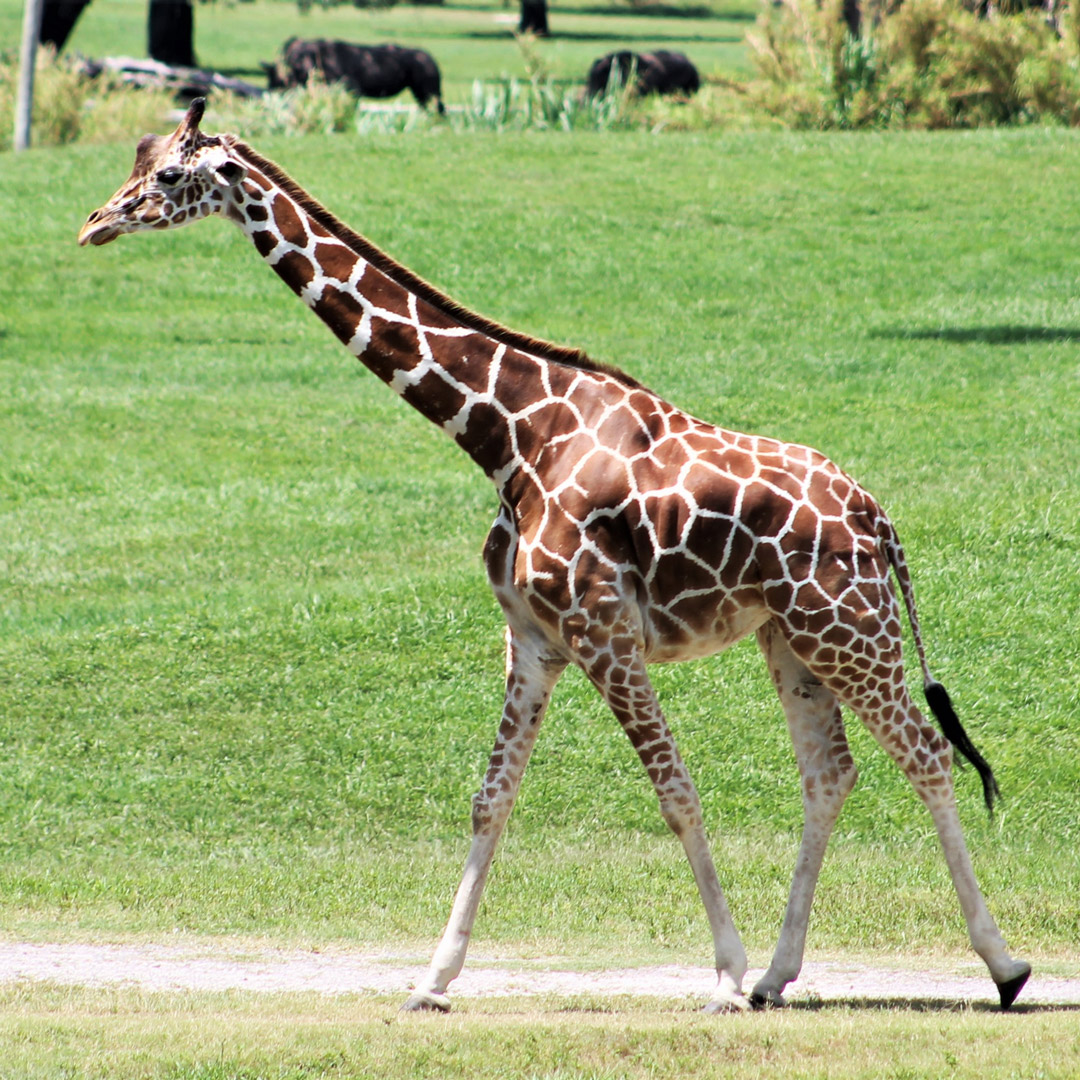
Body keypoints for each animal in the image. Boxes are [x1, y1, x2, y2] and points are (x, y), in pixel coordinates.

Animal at [78, 99, 1028, 1010]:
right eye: (135, 159)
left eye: (167, 174)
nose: (94, 223)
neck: (510, 436)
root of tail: (878, 519)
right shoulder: (534, 640)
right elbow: (489, 801)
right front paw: (432, 981)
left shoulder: (604, 631)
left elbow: (675, 793)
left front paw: (721, 978)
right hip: (791, 639)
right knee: (831, 776)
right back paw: (778, 976)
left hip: (848, 628)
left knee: (926, 755)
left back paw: (1003, 966)